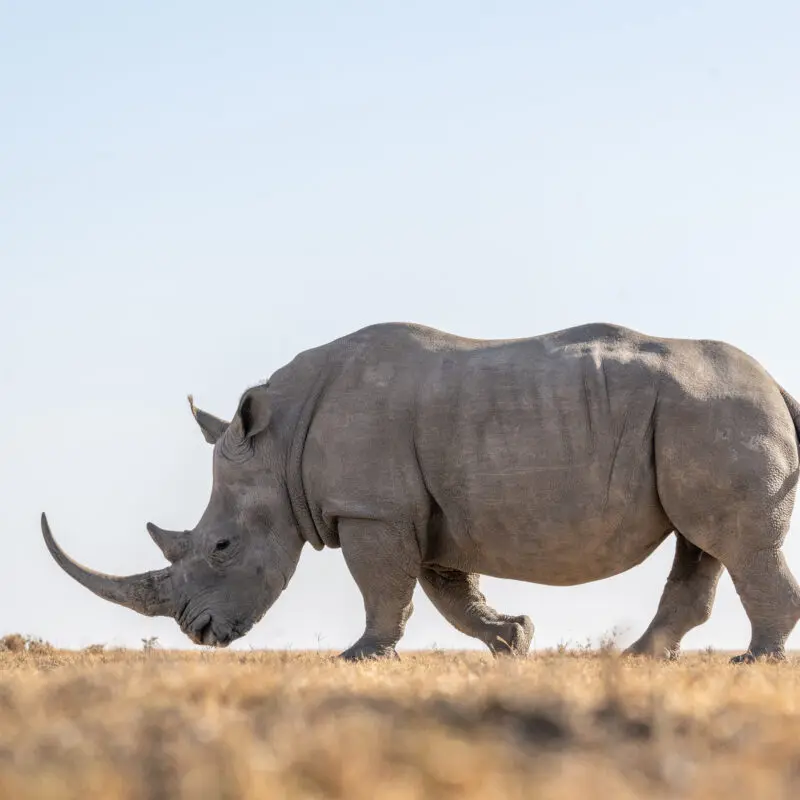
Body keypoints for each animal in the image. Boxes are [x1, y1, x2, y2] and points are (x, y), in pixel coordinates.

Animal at [42, 322, 800, 662]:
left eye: (222, 547)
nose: (197, 633)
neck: (280, 441)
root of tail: (777, 385)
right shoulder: (422, 511)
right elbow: (448, 591)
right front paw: (513, 640)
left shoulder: (371, 509)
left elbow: (384, 586)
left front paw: (357, 657)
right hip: (696, 420)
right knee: (702, 540)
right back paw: (638, 658)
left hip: (716, 413)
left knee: (731, 539)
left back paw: (750, 661)